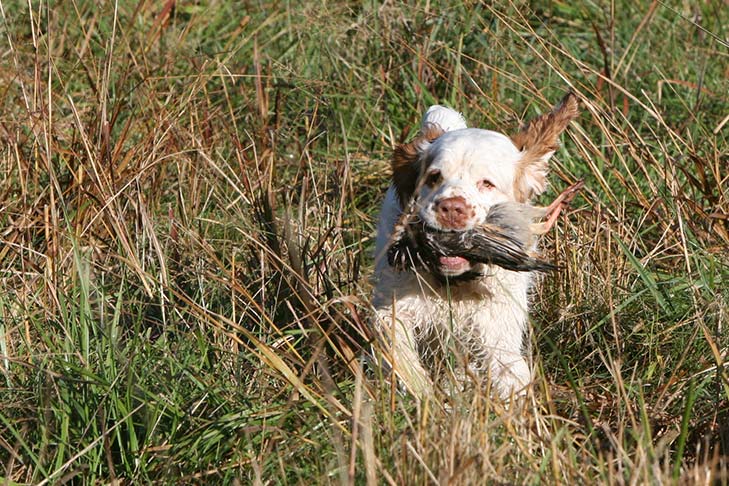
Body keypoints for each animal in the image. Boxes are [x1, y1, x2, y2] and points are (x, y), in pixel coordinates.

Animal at [372, 93, 576, 396]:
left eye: (487, 183)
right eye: (434, 177)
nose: (451, 208)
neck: (456, 284)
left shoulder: (497, 331)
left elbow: (511, 378)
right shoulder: (393, 308)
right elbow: (401, 355)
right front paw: (424, 395)